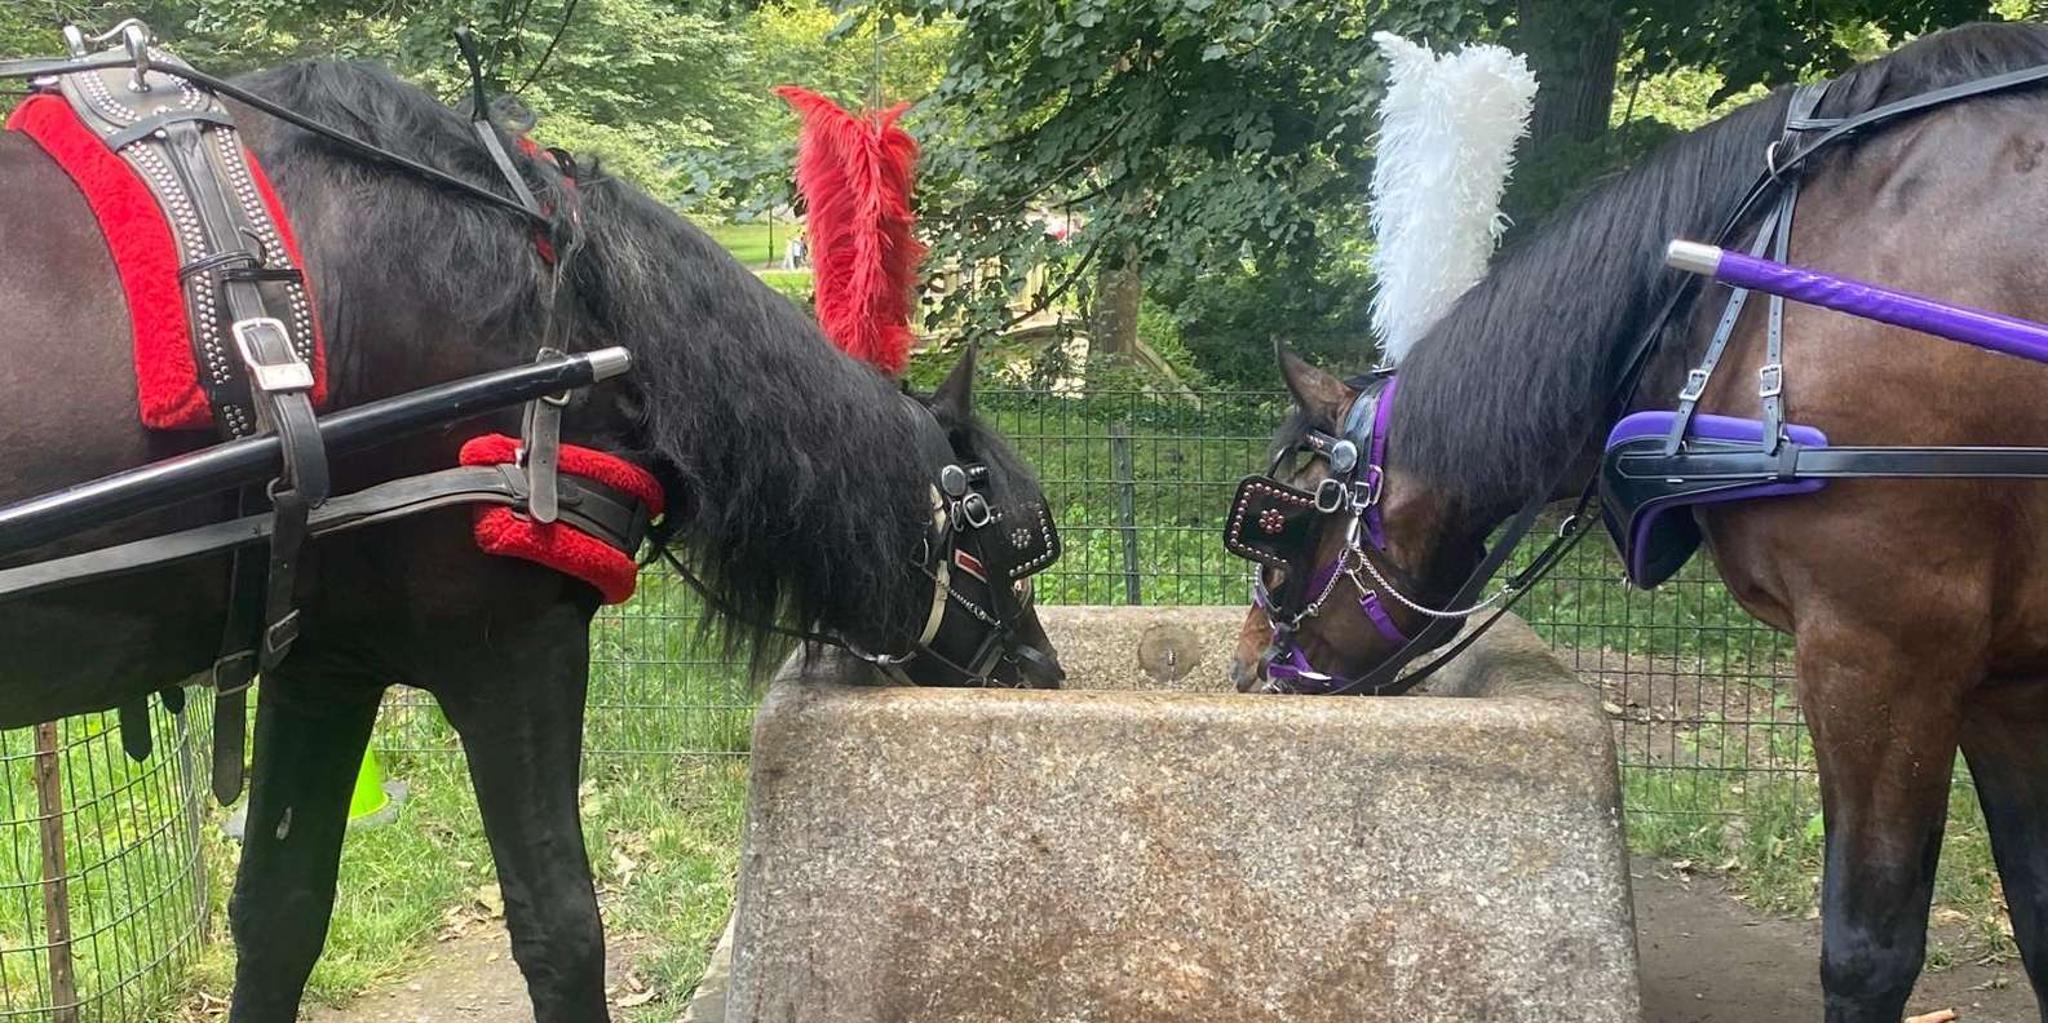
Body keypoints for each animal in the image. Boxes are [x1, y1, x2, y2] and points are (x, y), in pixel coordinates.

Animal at [0, 57, 1064, 1021]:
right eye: (1002, 551)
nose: (1048, 674)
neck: (572, 303)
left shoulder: (324, 659)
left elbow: (279, 914)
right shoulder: (509, 645)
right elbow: (561, 927)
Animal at [1228, 21, 2048, 1023]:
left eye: (1281, 532)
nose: (1245, 667)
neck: (1743, 304)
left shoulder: (1884, 649)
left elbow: (1868, 950)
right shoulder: (2011, 680)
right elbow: (2040, 922)